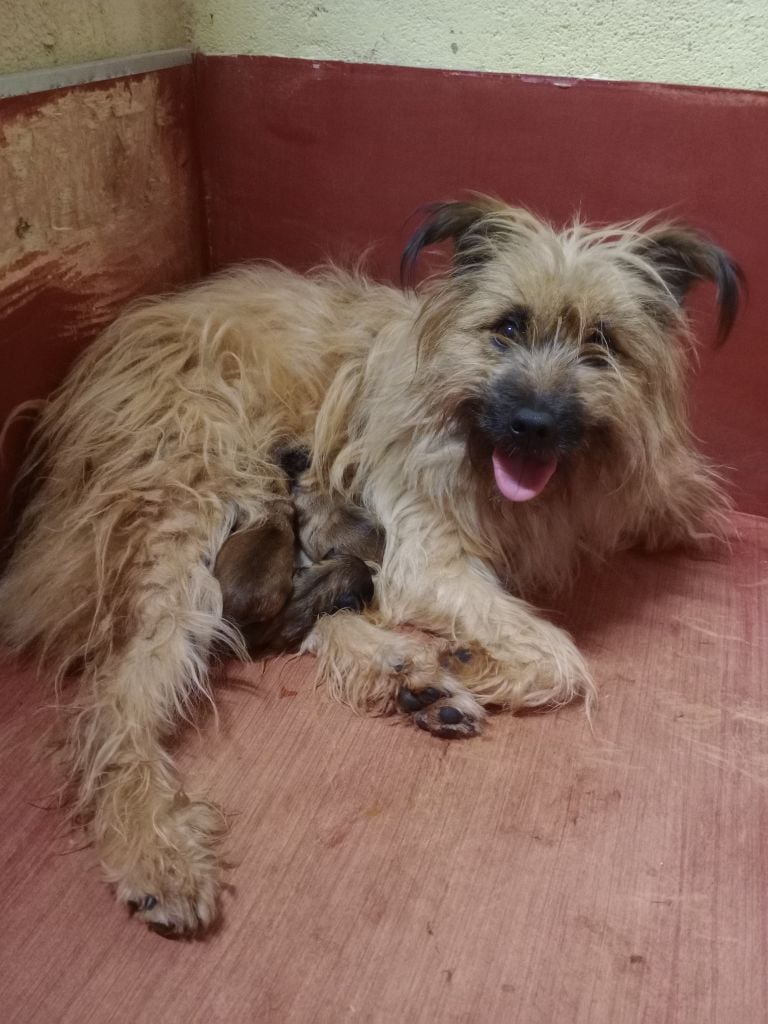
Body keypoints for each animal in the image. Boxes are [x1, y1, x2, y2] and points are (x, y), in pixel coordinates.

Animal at [1, 197, 745, 937]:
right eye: (507, 326)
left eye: (603, 343)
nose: (532, 423)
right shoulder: (424, 554)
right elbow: (562, 657)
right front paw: (475, 660)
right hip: (190, 509)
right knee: (118, 696)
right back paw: (156, 845)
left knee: (289, 618)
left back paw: (407, 675)